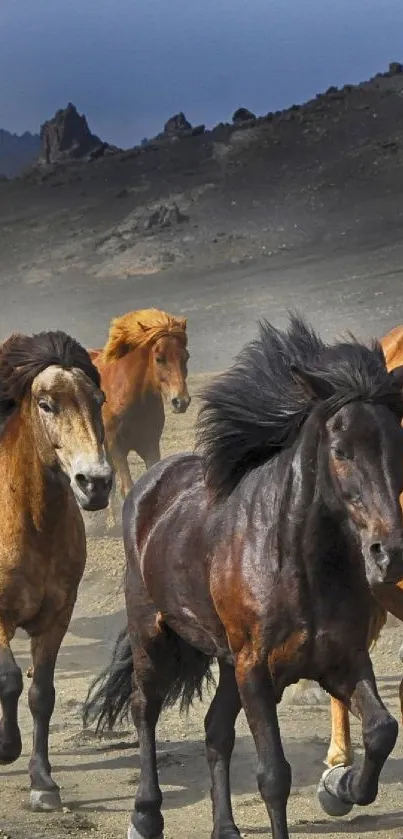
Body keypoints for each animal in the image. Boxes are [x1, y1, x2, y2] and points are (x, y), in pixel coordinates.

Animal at [83, 316, 403, 839]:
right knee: (144, 708)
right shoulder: (256, 670)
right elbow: (274, 775)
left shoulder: (341, 660)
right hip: (152, 633)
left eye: (396, 446)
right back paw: (145, 816)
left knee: (215, 728)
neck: (298, 564)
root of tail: (151, 486)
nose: (388, 554)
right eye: (340, 451)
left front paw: (346, 784)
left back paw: (225, 828)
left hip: (228, 660)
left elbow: (382, 730)